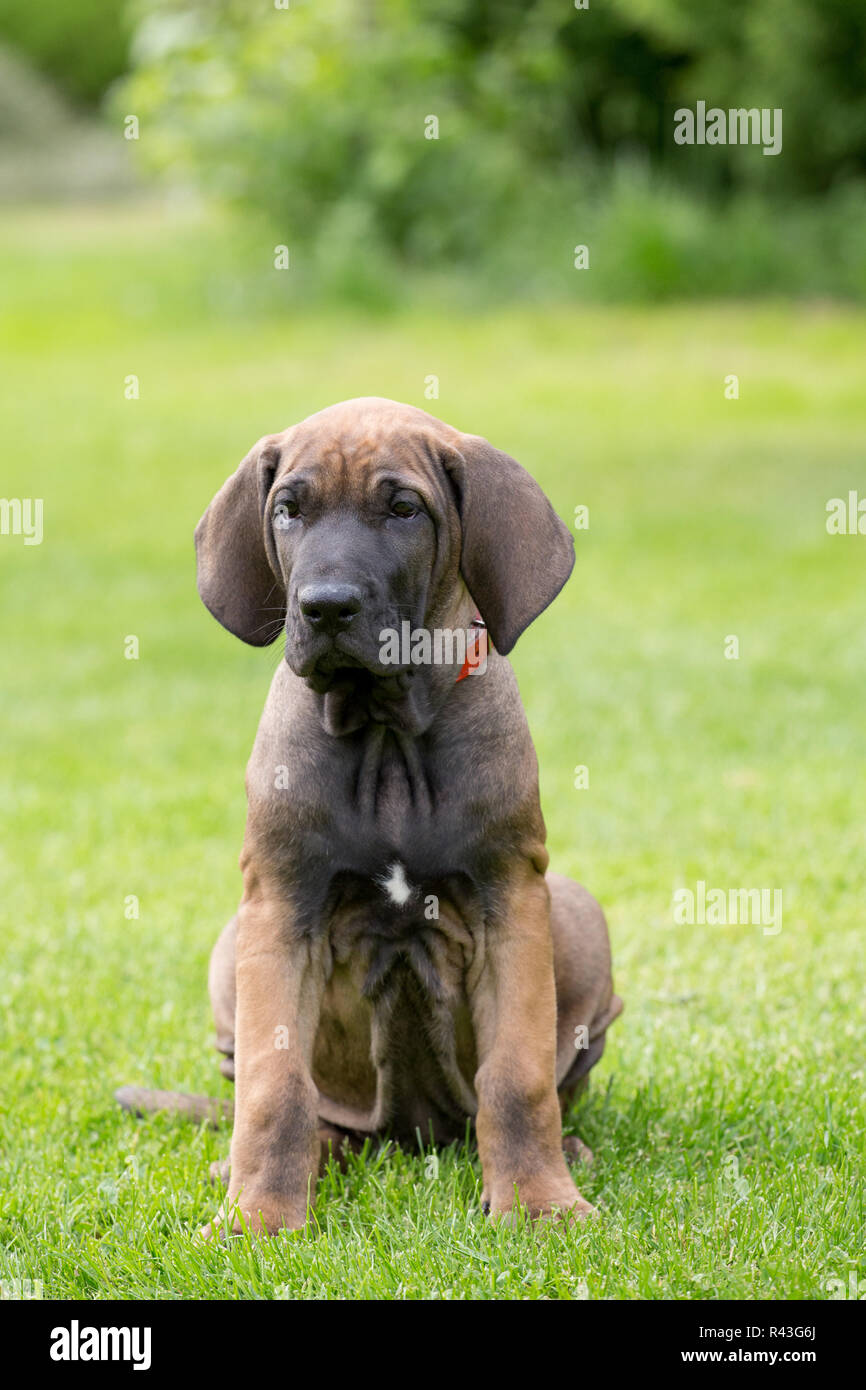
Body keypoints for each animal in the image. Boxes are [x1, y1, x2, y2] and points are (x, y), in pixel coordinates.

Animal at [116, 397, 622, 1234]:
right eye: (288, 510)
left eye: (404, 509)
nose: (325, 607)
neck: (386, 730)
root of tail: (412, 1136)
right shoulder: (280, 909)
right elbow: (274, 1090)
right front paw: (259, 1217)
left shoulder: (512, 903)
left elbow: (517, 1079)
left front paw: (538, 1203)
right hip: (230, 950)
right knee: (301, 1107)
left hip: (578, 916)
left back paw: (569, 1150)